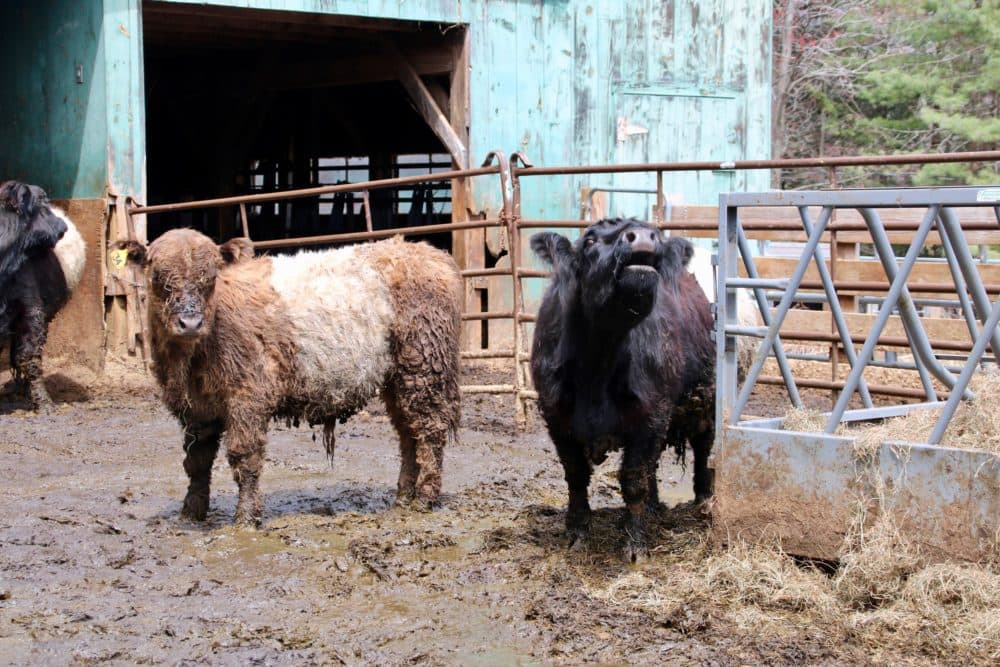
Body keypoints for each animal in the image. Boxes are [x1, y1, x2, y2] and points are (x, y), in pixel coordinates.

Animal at [126, 230, 464, 528]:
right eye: (158, 278)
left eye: (210, 279)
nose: (190, 322)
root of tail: (429, 253)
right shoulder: (196, 408)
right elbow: (196, 461)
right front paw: (191, 512)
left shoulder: (248, 396)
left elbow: (244, 457)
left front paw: (246, 519)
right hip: (398, 380)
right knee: (408, 435)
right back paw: (404, 498)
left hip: (424, 368)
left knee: (430, 431)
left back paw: (425, 498)